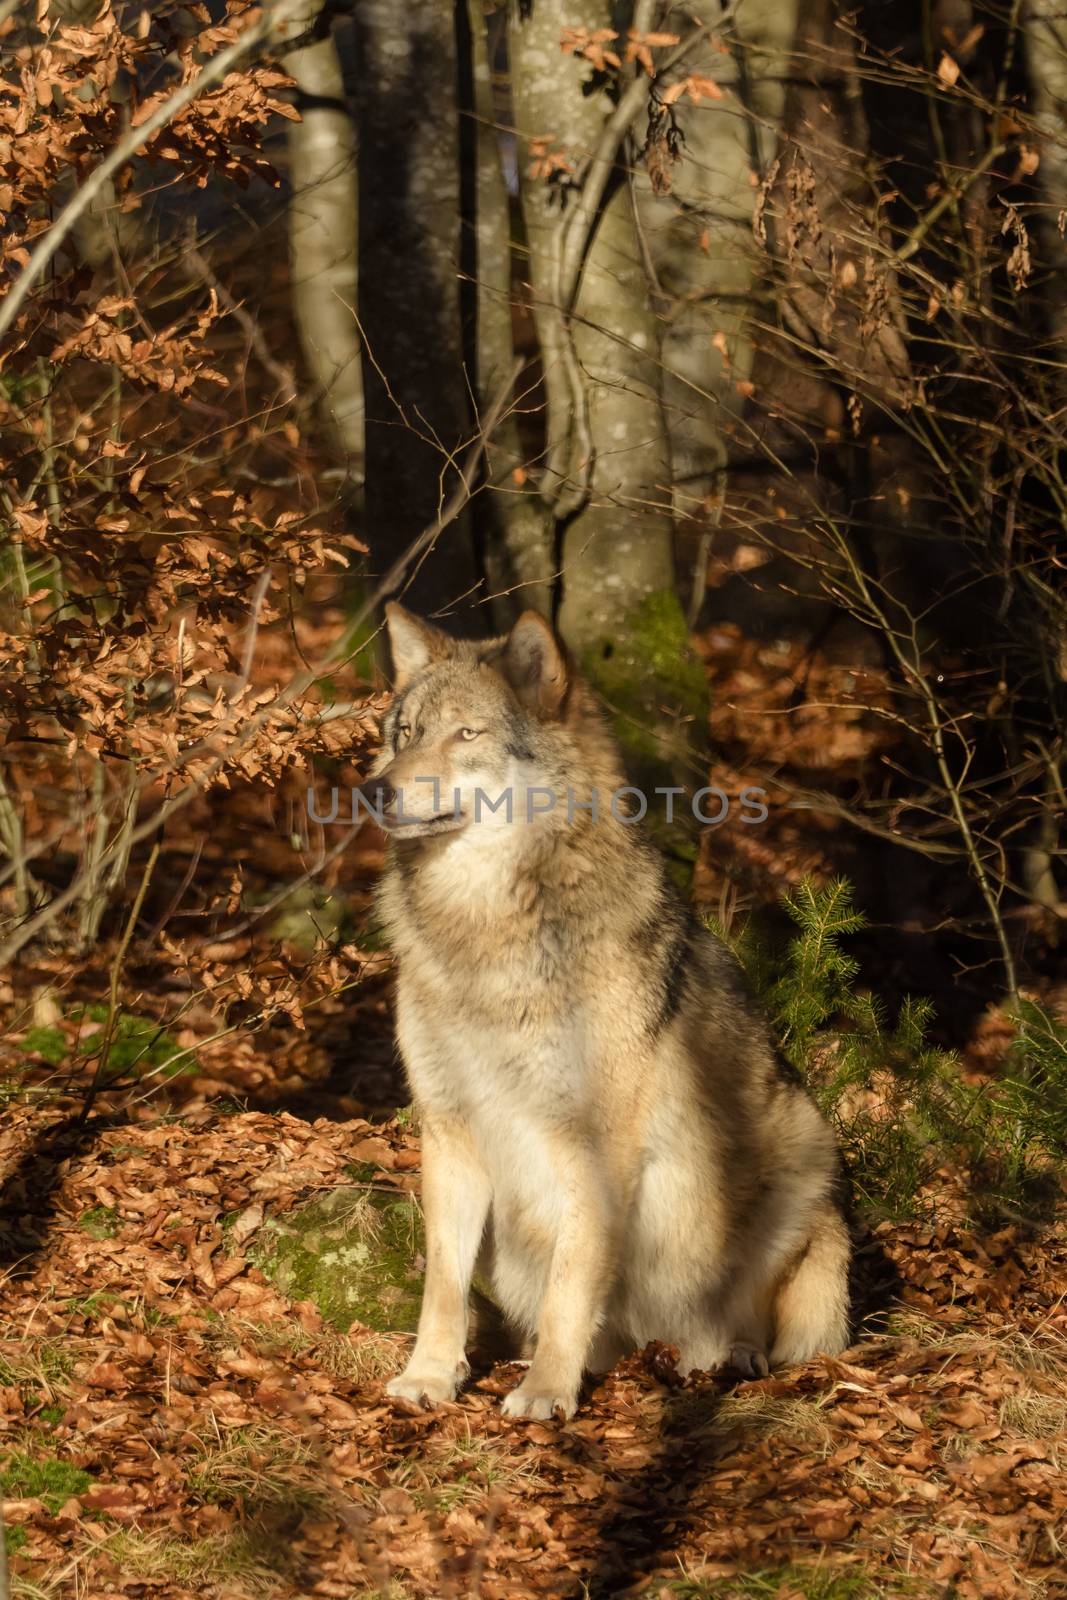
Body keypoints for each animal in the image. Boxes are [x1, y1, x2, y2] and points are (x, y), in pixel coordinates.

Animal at [367, 601, 851, 1427]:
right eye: (405, 732)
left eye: (465, 733)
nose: (375, 792)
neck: (486, 932)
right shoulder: (448, 1128)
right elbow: (443, 1285)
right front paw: (429, 1376)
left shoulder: (597, 1142)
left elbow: (574, 1278)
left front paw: (546, 1392)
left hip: (801, 1157)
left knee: (752, 1318)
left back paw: (728, 1356)